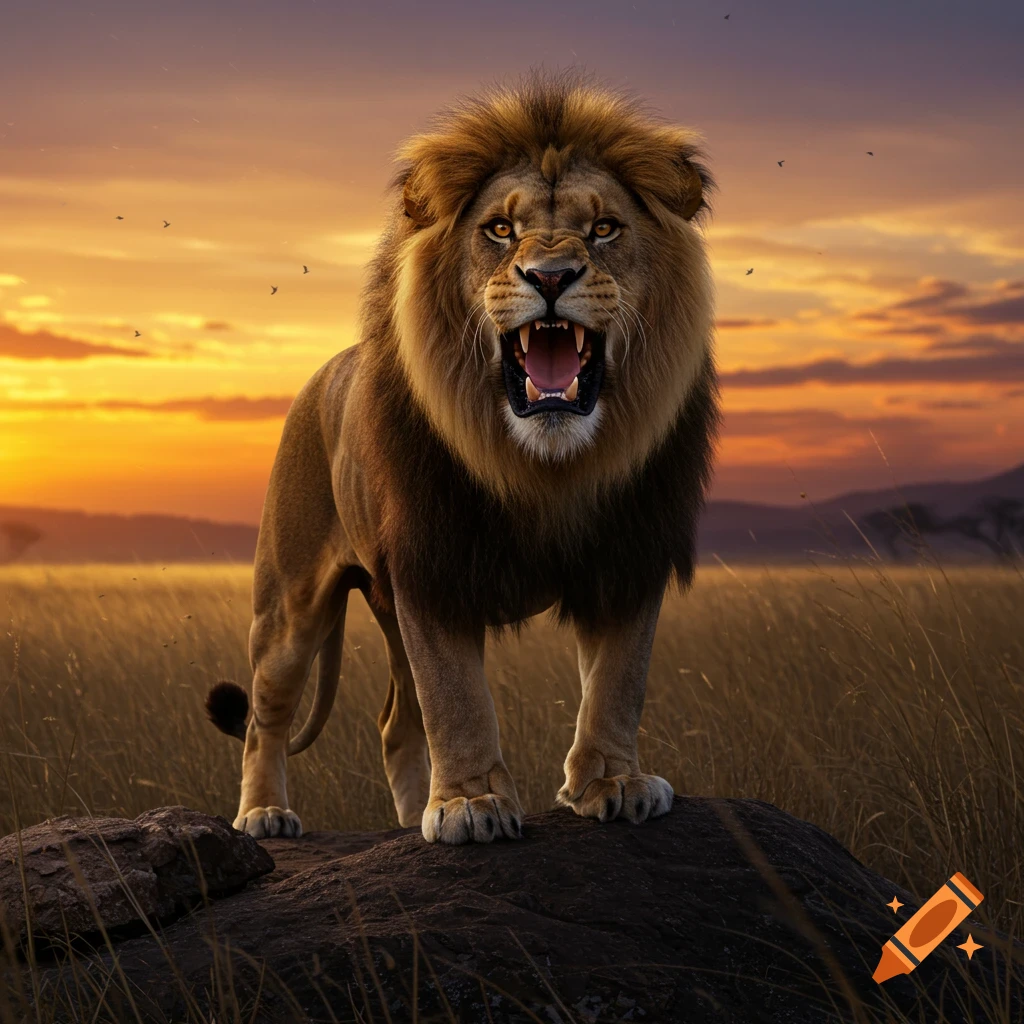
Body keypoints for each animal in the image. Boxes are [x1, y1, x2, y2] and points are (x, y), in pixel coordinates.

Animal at [205, 73, 719, 845]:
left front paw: (613, 783)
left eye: (604, 229)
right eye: (500, 230)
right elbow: (456, 697)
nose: (550, 276)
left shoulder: (629, 553)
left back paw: (404, 816)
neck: (544, 465)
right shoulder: (432, 561)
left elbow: (618, 680)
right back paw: (264, 814)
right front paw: (471, 804)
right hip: (289, 603)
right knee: (269, 715)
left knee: (394, 723)